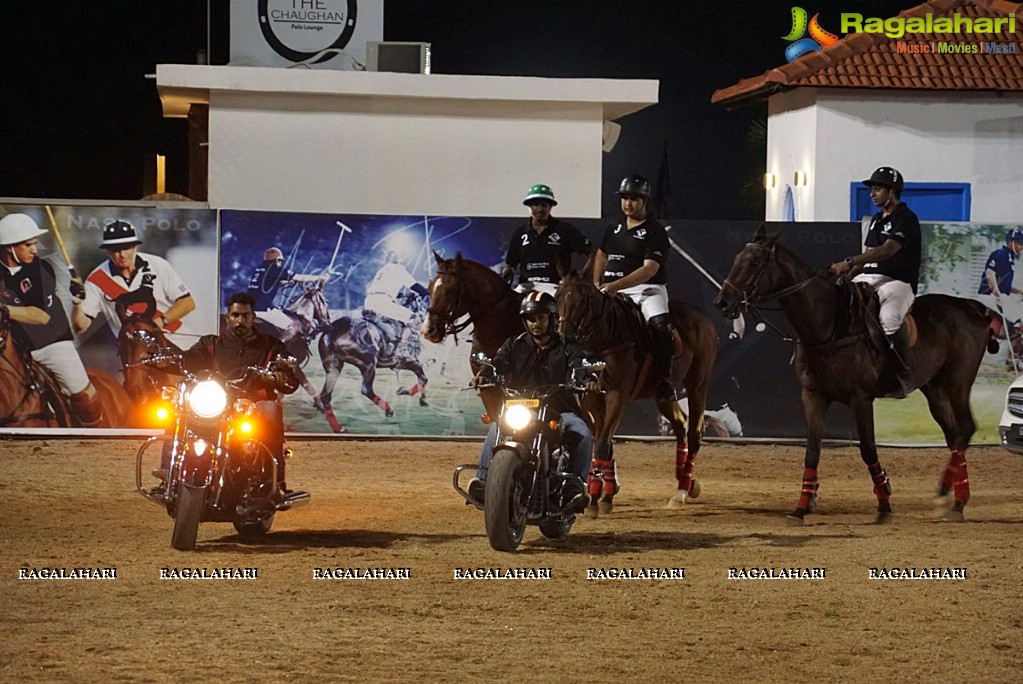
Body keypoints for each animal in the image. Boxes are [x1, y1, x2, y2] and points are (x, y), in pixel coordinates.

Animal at [313, 292, 429, 435]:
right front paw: (417, 397)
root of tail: (333, 329)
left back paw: (338, 428)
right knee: (366, 389)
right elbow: (423, 378)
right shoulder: (408, 360)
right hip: (368, 364)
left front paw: (408, 393)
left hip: (334, 367)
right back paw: (389, 410)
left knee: (326, 395)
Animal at [556, 269, 716, 511]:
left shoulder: (617, 396)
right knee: (680, 425)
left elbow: (602, 444)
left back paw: (681, 491)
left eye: (583, 300)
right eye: (558, 296)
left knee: (694, 434)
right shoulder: (590, 398)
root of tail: (703, 318)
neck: (605, 340)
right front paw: (605, 491)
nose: (565, 336)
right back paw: (688, 482)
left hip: (698, 383)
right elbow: (604, 441)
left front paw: (598, 497)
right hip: (663, 394)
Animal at [712, 223, 998, 523]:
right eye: (737, 259)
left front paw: (884, 504)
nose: (722, 302)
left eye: (756, 261)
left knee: (965, 428)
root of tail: (972, 307)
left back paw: (954, 500)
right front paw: (801, 508)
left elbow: (868, 448)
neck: (828, 326)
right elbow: (812, 451)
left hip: (958, 380)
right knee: (954, 435)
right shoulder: (813, 396)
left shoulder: (861, 399)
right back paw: (949, 497)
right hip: (934, 387)